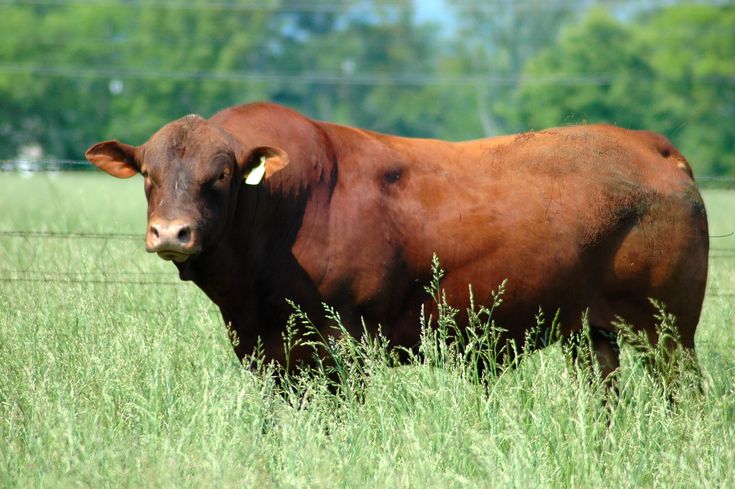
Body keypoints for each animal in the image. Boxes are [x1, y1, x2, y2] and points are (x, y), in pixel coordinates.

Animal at [83, 103, 712, 376]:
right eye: (148, 174)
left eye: (219, 176)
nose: (172, 232)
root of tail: (648, 143)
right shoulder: (265, 347)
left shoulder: (341, 344)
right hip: (591, 331)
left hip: (668, 332)